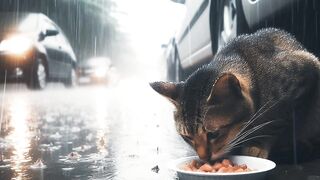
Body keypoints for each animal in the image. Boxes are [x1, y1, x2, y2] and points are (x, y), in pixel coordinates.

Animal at [151, 28, 320, 163]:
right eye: (187, 137)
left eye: (213, 134)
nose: (204, 158)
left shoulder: (306, 70)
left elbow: (275, 121)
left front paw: (257, 144)